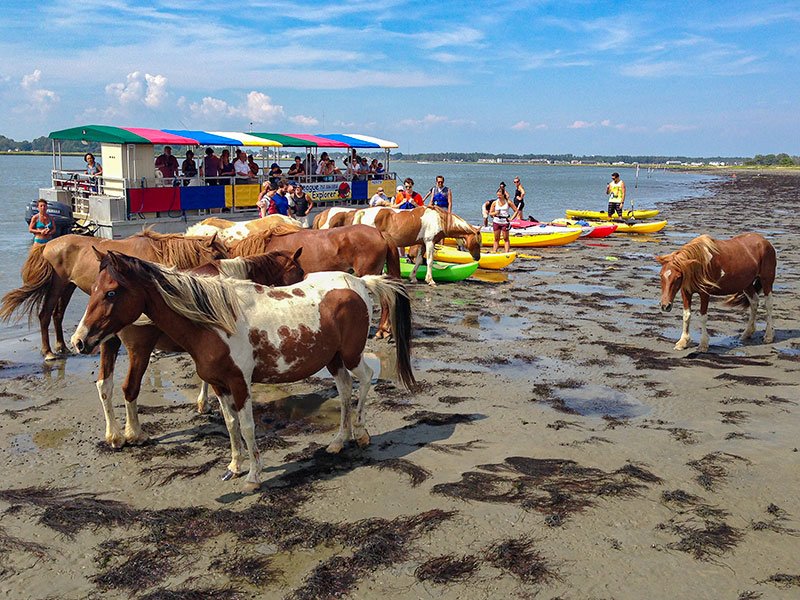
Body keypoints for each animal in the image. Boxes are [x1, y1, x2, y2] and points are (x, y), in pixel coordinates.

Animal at [0, 229, 228, 360]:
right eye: (217, 254)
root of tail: (48, 244)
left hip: (68, 287)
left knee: (57, 315)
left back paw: (62, 347)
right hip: (57, 286)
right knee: (45, 315)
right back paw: (48, 352)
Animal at [94, 250, 306, 450]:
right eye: (299, 271)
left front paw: (203, 404)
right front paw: (206, 404)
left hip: (109, 344)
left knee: (104, 385)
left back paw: (114, 436)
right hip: (140, 351)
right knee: (130, 387)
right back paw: (135, 434)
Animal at [312, 206, 478, 286]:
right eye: (477, 241)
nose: (477, 257)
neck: (438, 218)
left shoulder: (422, 243)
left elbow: (419, 261)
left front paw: (413, 277)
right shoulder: (430, 241)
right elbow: (430, 261)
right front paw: (430, 280)